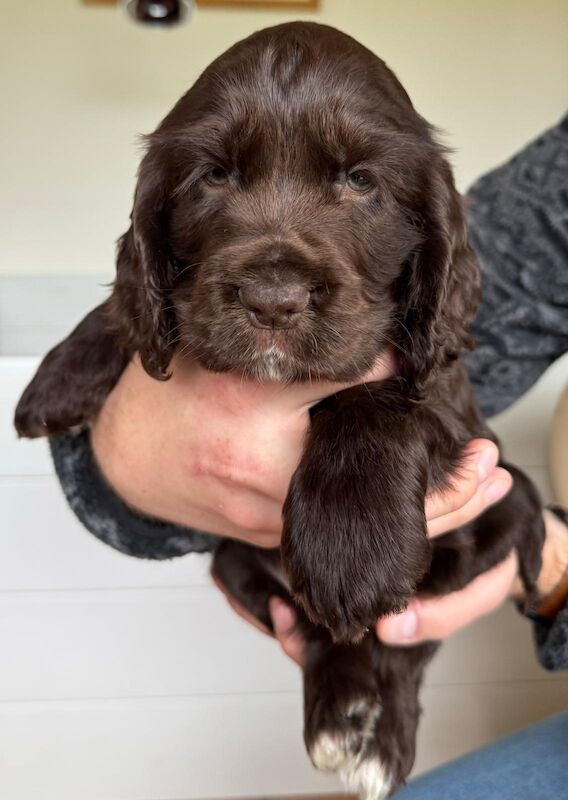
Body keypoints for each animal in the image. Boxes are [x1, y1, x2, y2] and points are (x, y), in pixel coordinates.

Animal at [15, 21, 544, 796]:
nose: (272, 300)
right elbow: (136, 301)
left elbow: (373, 398)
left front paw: (350, 546)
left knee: (401, 644)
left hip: (492, 524)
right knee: (327, 631)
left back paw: (377, 742)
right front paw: (58, 378)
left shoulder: (450, 404)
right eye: (213, 176)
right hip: (235, 562)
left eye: (361, 180)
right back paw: (341, 710)